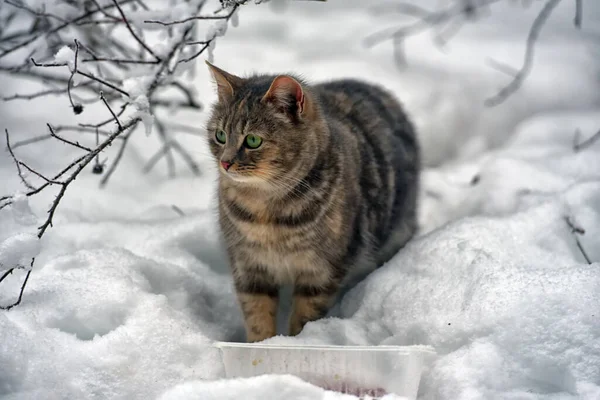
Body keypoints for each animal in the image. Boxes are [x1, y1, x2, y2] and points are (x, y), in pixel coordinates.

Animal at [204, 61, 420, 342]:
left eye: (252, 140)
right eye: (220, 135)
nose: (225, 162)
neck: (266, 211)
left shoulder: (321, 270)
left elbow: (305, 315)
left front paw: (299, 341)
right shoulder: (249, 266)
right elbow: (257, 314)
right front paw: (263, 344)